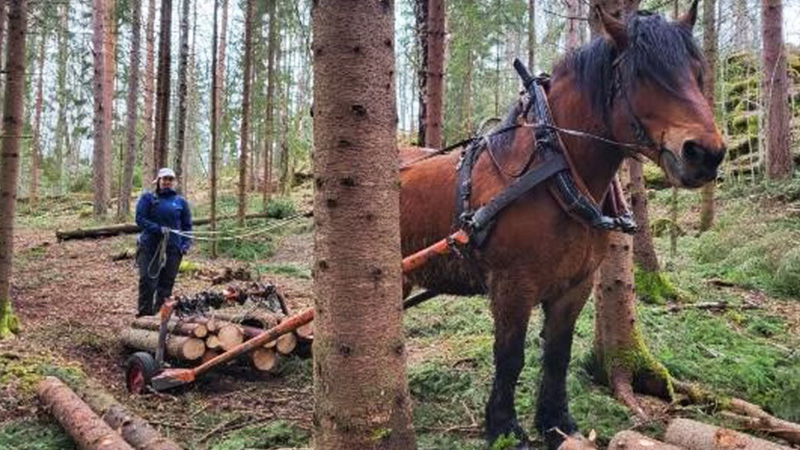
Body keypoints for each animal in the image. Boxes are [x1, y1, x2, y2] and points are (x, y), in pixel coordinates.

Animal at [400, 5, 724, 448]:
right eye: (642, 74)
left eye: (697, 72)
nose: (706, 154)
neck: (555, 172)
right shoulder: (512, 286)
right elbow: (510, 355)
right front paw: (504, 426)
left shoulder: (576, 285)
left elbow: (557, 353)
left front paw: (556, 423)